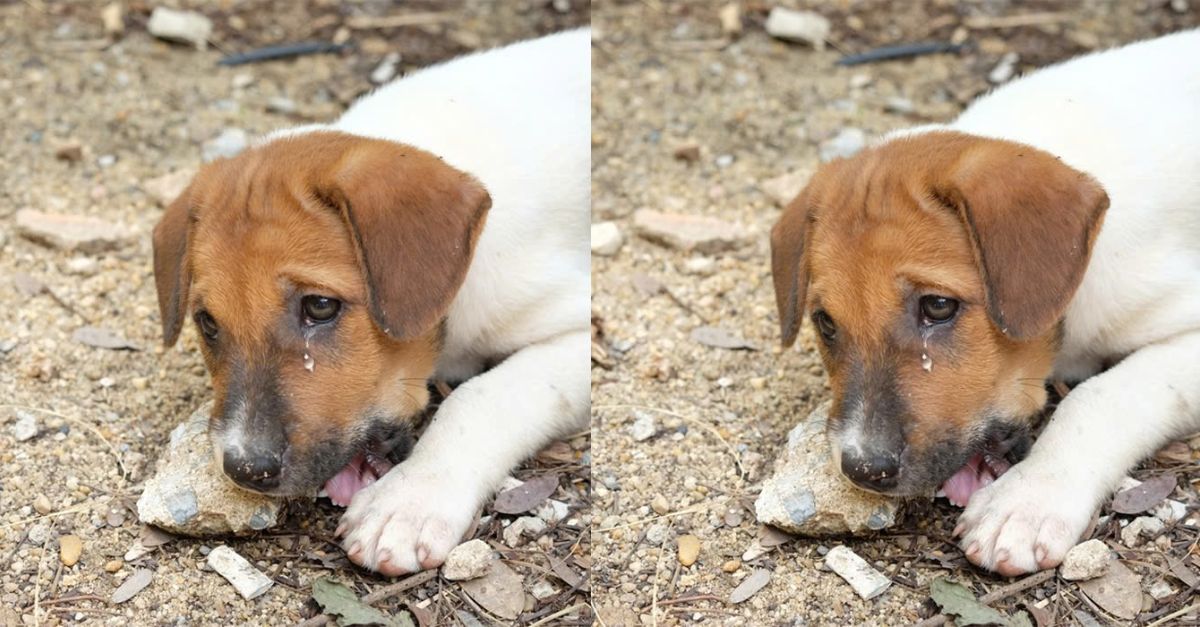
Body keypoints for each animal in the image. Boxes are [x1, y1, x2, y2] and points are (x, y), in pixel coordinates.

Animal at [152, 31, 592, 574]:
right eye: (208, 323)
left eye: (320, 307)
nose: (245, 468)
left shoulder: (581, 326)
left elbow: (481, 396)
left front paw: (408, 502)